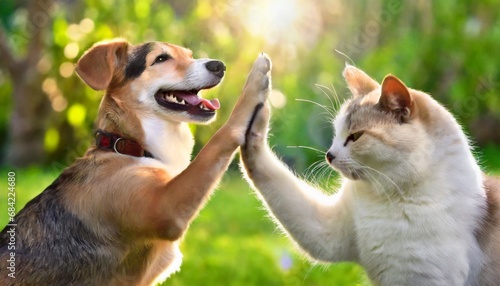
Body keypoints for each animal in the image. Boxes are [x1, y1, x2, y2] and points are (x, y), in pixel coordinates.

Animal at [0, 40, 274, 286]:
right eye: (161, 59)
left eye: (188, 55)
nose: (219, 66)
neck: (126, 146)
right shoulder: (166, 209)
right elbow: (218, 140)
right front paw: (255, 84)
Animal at [240, 65, 498, 286]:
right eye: (336, 133)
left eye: (355, 136)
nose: (329, 155)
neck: (388, 198)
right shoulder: (327, 231)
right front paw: (252, 118)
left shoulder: (422, 277)